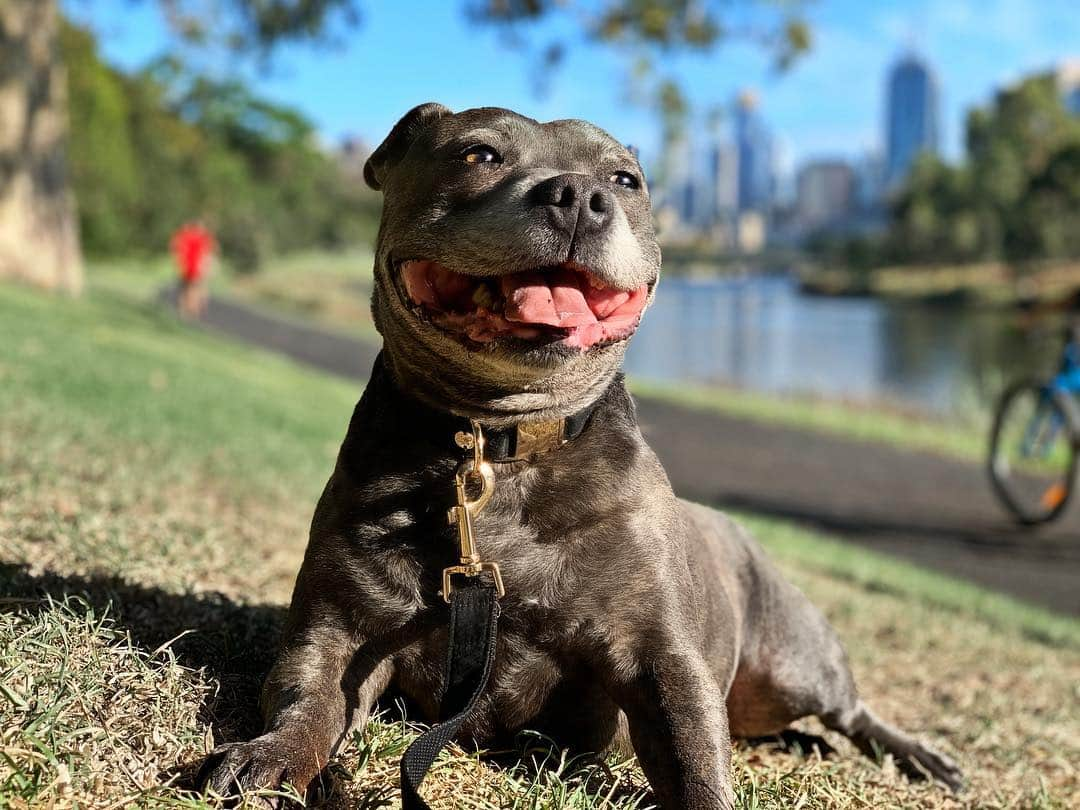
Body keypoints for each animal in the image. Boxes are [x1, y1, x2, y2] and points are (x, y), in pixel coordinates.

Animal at [200, 104, 963, 807]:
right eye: (478, 154)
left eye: (625, 180)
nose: (577, 195)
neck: (500, 445)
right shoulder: (338, 632)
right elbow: (306, 699)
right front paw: (273, 755)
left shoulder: (662, 660)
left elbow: (695, 757)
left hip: (795, 664)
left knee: (851, 709)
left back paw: (922, 757)